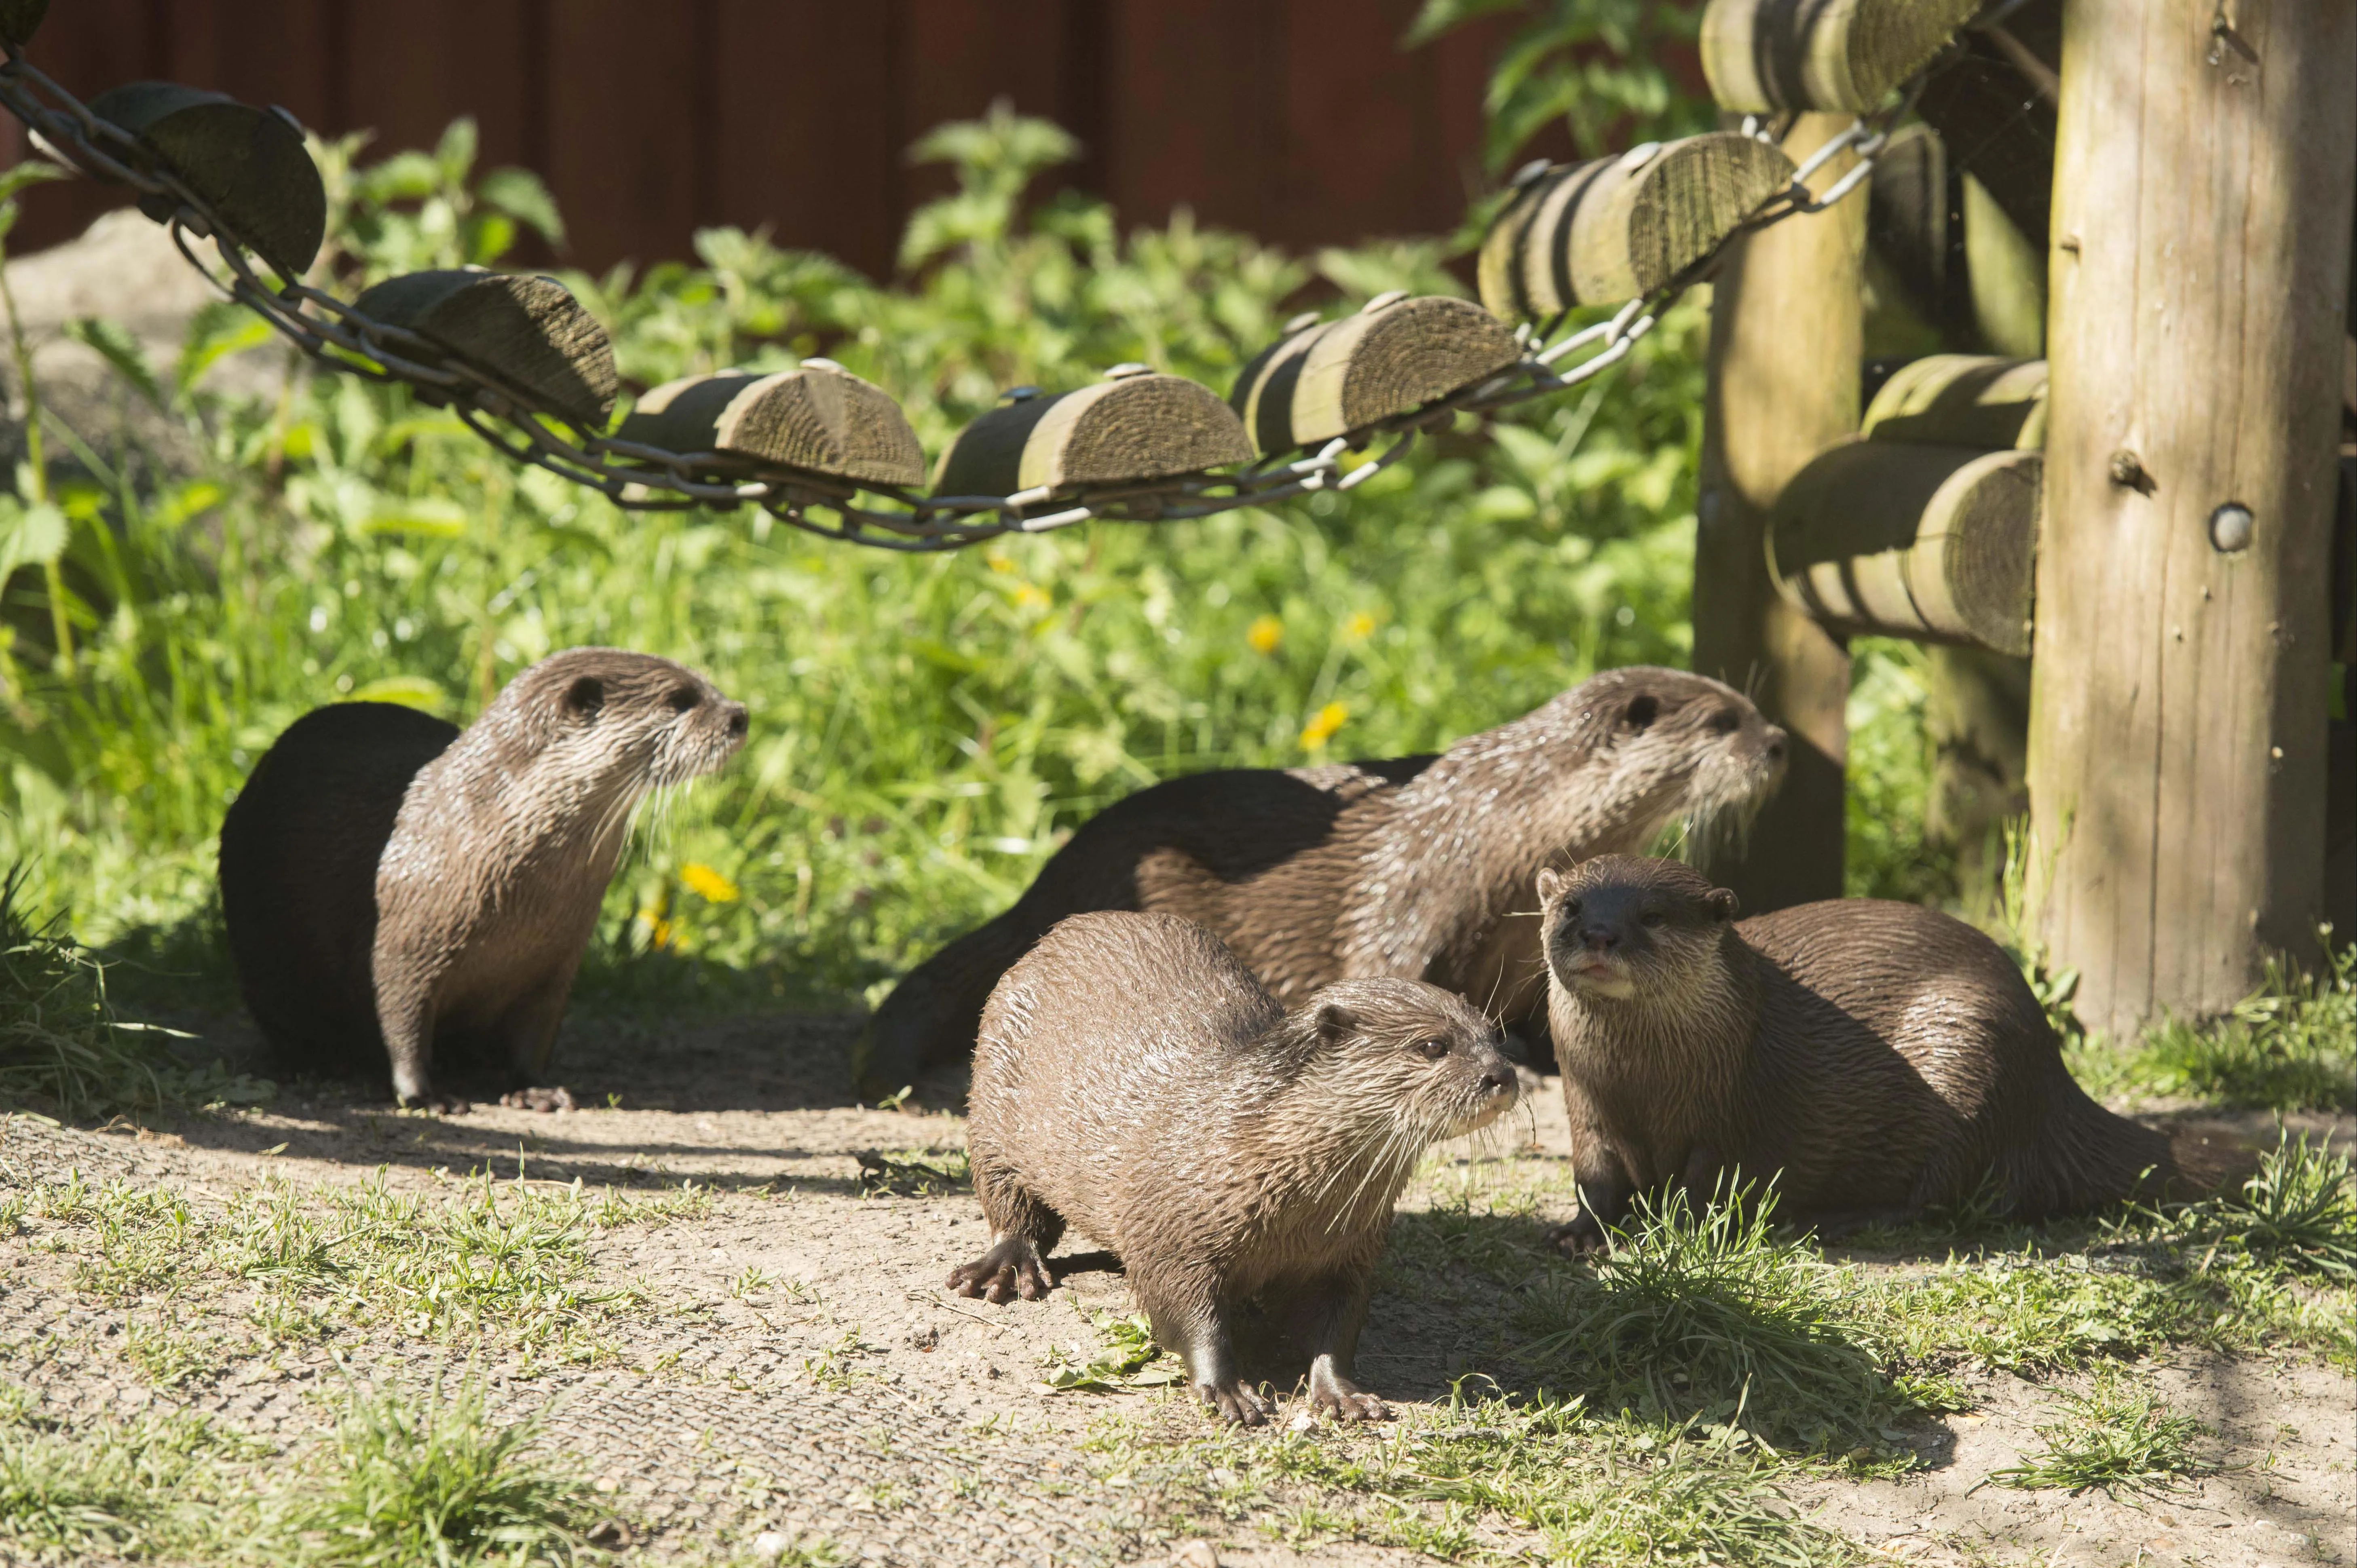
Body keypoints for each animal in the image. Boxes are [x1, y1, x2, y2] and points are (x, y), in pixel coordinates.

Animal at [219, 648, 747, 1109]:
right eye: (679, 700)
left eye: (708, 685)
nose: (740, 715)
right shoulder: (402, 942)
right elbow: (400, 1018)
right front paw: (423, 1095)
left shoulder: (557, 963)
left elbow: (536, 1034)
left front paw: (534, 1089)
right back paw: (318, 1063)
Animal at [856, 666, 1786, 1101]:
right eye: (1722, 720)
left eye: (1752, 707)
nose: (1778, 741)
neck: (1500, 830)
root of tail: (1048, 881)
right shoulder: (1412, 897)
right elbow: (1391, 973)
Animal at [951, 910, 1517, 1425]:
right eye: (1433, 1046)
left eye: (1496, 1036)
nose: (1501, 1075)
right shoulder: (1172, 1237)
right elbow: (1185, 1314)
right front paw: (1227, 1390)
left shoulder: (1350, 1252)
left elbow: (1337, 1328)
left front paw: (1342, 1392)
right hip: (992, 1105)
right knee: (1011, 1205)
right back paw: (1005, 1267)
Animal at [1535, 855, 2228, 1247]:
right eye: (1569, 905)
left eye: (1652, 915)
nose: (1599, 932)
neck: (1640, 1083)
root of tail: (2054, 1086)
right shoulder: (1585, 1103)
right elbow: (1594, 1176)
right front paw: (1578, 1235)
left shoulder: (1731, 1114)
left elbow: (1707, 1185)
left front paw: (1674, 1232)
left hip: (1971, 1055)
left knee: (1946, 1198)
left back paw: (1834, 1220)